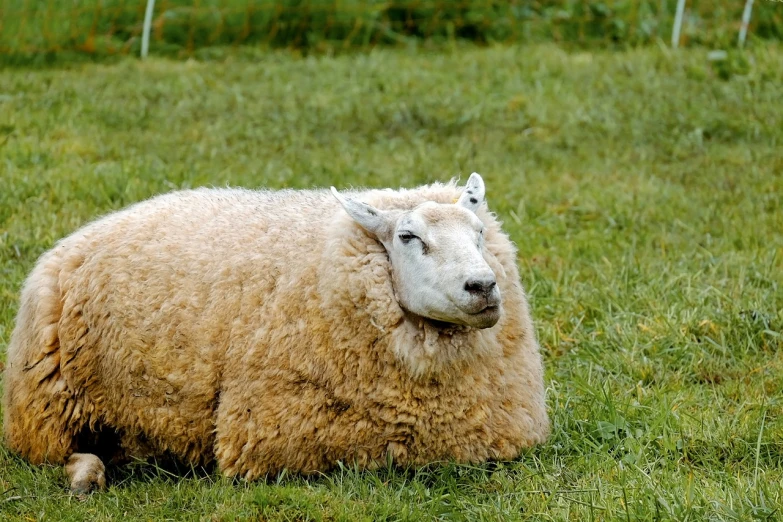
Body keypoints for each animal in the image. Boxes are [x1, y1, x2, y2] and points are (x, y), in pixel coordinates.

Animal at [1, 173, 552, 490]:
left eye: (478, 233)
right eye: (408, 237)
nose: (482, 286)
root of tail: (71, 241)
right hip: (46, 406)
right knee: (53, 453)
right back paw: (86, 475)